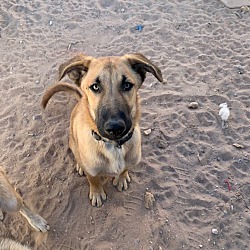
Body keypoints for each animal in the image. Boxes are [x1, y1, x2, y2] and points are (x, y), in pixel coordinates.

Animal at [42, 52, 164, 207]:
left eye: (127, 85)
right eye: (95, 87)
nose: (115, 128)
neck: (114, 146)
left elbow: (124, 168)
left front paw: (121, 177)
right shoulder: (91, 170)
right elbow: (93, 179)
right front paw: (97, 193)